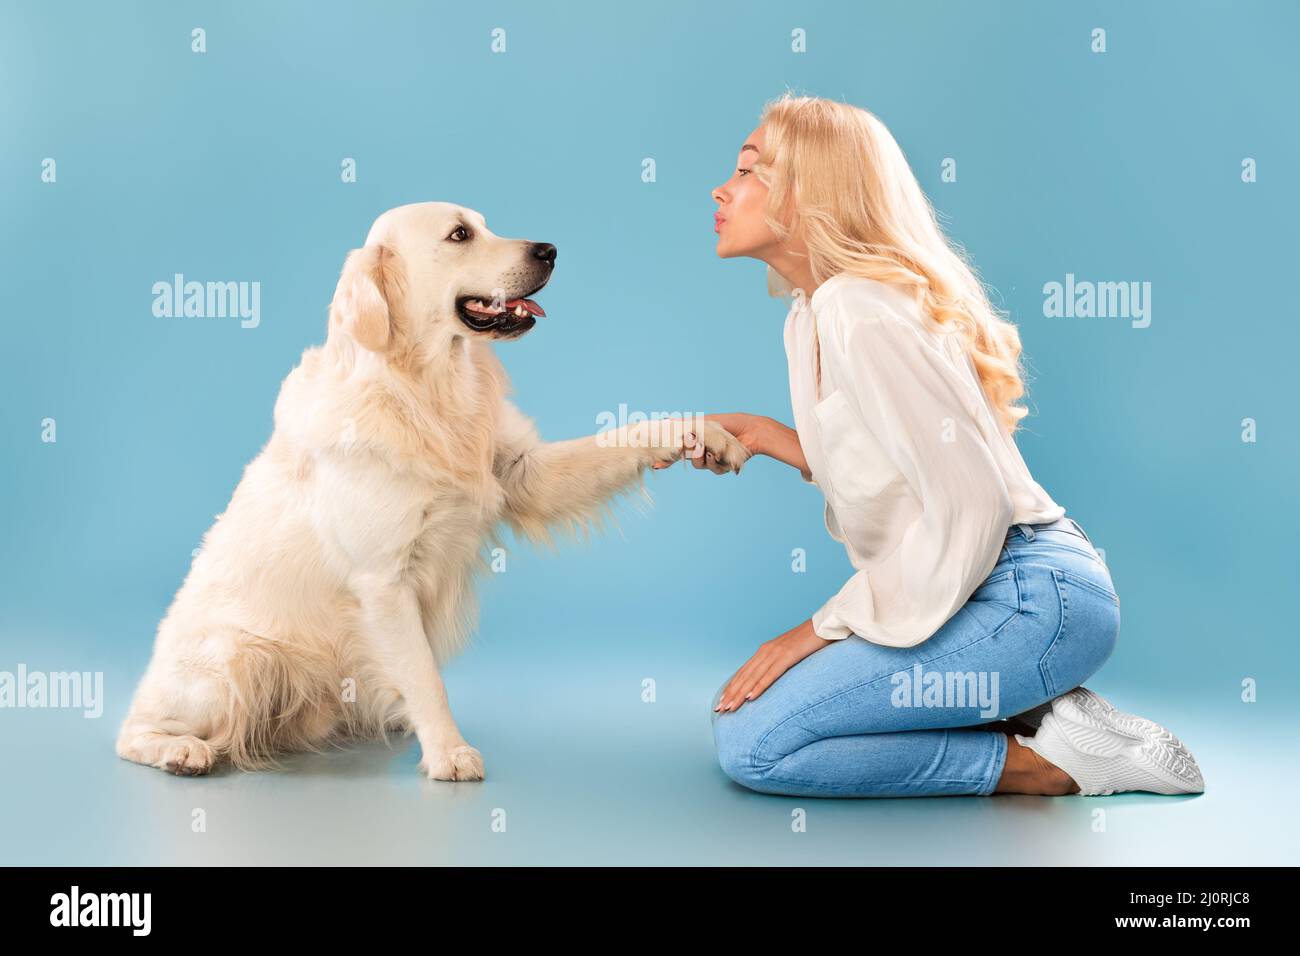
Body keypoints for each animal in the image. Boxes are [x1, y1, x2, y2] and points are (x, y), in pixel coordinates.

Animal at [122, 201, 754, 780]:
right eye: (459, 235)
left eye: (486, 224)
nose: (549, 250)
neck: (428, 387)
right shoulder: (384, 581)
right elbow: (426, 677)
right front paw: (449, 752)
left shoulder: (525, 472)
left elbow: (624, 437)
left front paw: (705, 433)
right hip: (237, 658)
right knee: (133, 731)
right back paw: (181, 750)